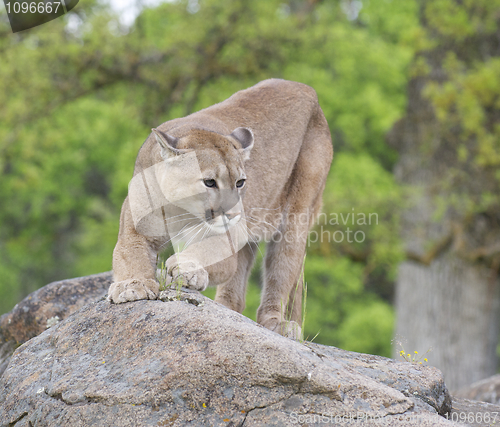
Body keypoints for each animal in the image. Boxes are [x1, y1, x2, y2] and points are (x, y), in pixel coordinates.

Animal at [111, 79, 334, 342]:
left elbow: (207, 253)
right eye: (209, 182)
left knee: (281, 273)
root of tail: (305, 87)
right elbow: (129, 255)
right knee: (237, 291)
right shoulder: (136, 230)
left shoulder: (226, 237)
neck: (179, 208)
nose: (234, 213)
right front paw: (131, 285)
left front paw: (185, 268)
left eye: (240, 182)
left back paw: (278, 323)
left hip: (295, 217)